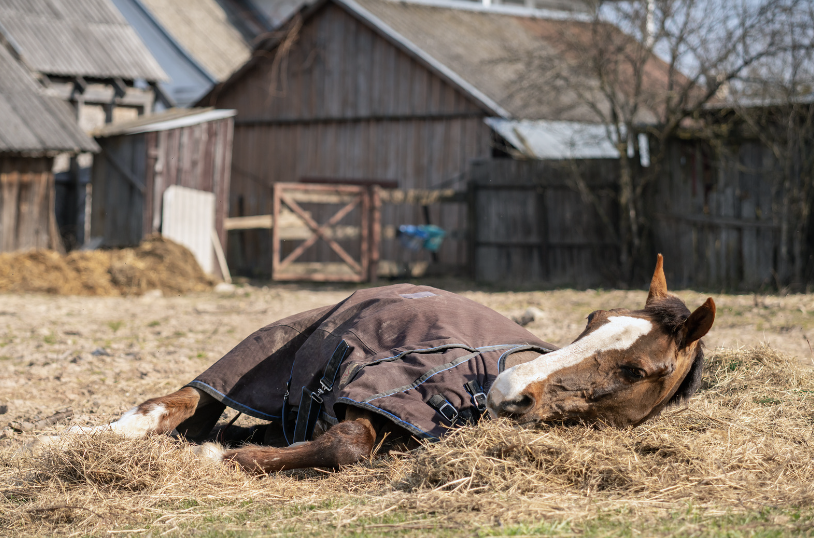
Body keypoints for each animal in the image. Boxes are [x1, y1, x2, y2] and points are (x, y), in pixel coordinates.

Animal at [49, 253, 712, 472]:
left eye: (636, 371)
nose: (507, 390)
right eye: (592, 319)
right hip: (254, 360)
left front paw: (229, 453)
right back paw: (77, 437)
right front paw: (226, 457)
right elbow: (348, 444)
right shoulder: (373, 394)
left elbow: (342, 445)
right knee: (174, 403)